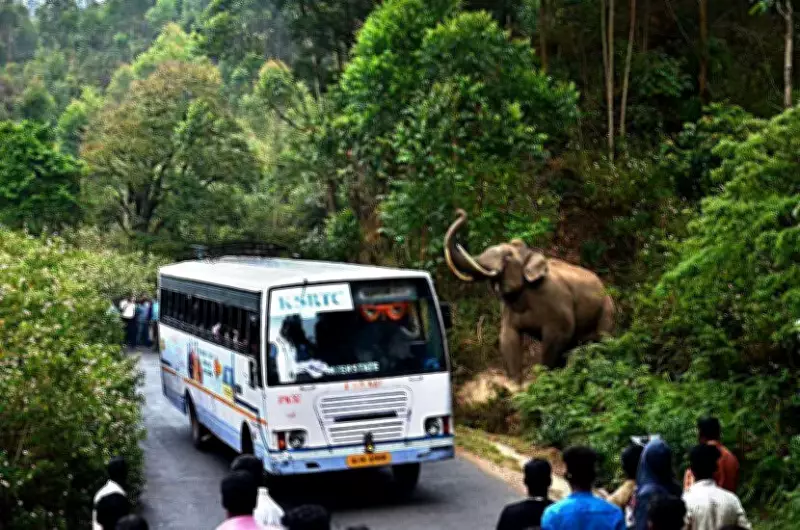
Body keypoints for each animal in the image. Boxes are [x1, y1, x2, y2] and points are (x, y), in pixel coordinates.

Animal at [444, 209, 614, 382]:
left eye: (508, 256)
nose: (459, 212)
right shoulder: (508, 308)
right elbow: (508, 338)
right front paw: (515, 384)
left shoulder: (556, 301)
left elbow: (558, 336)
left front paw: (544, 378)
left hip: (607, 309)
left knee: (603, 338)